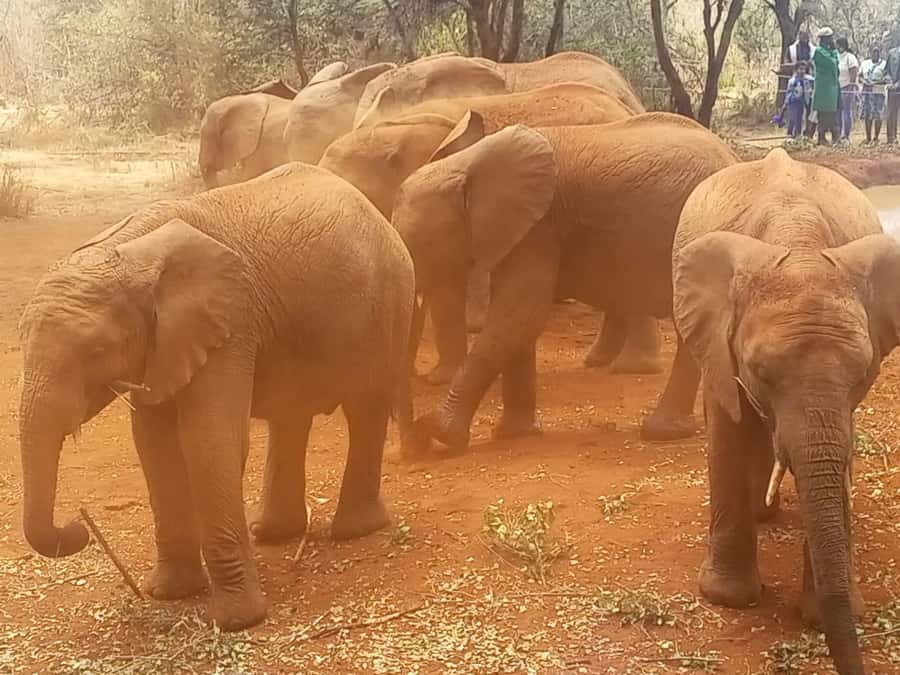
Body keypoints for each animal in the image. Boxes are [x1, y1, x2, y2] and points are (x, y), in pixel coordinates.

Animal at [17, 163, 415, 632]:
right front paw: (169, 593)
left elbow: (208, 440)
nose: (77, 526)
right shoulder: (167, 345)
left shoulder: (231, 321)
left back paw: (354, 531)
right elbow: (155, 446)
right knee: (291, 416)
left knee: (365, 407)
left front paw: (237, 621)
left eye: (96, 352)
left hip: (391, 301)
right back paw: (273, 533)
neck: (130, 251)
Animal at [390, 112, 739, 450]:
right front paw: (515, 435)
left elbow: (517, 317)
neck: (466, 163)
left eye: (418, 248)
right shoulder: (523, 230)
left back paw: (663, 433)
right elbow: (518, 322)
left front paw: (441, 433)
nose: (414, 447)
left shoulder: (540, 227)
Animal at [672, 148, 894, 675]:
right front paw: (728, 598)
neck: (800, 243)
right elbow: (729, 428)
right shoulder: (718, 339)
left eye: (864, 372)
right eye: (759, 371)